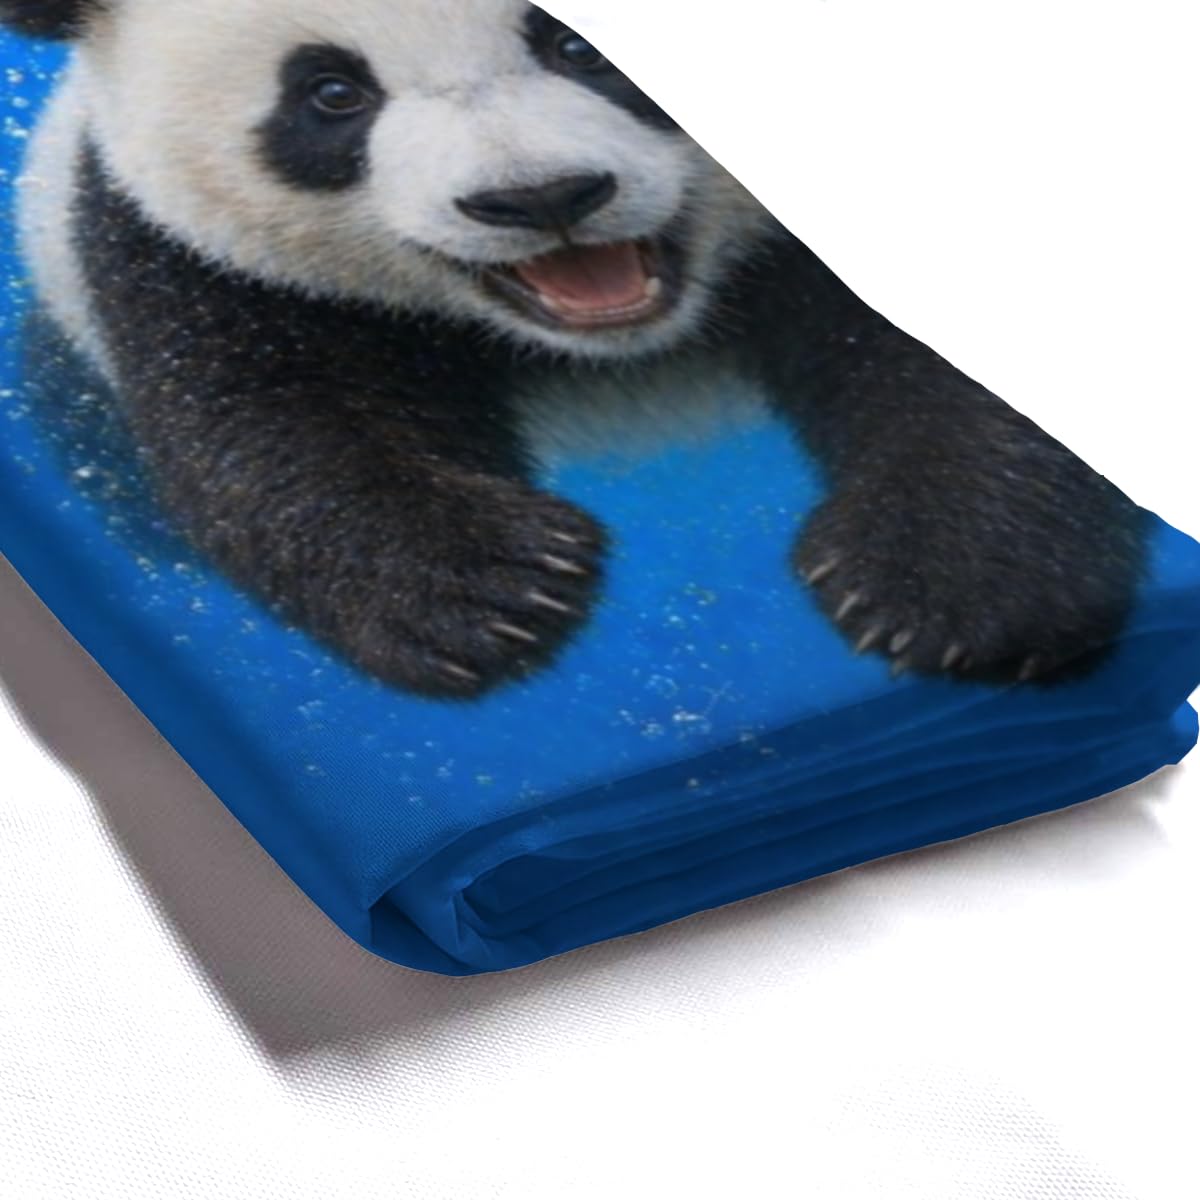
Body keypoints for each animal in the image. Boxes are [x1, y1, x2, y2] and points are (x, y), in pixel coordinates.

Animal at [2, 0, 1147, 699]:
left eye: (581, 44)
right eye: (331, 93)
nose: (541, 197)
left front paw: (950, 580)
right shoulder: (181, 258)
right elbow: (276, 416)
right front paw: (490, 583)